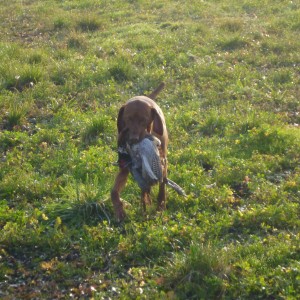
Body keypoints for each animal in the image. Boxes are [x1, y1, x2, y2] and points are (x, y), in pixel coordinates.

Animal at [111, 82, 168, 220]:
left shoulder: (163, 163)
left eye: (143, 119)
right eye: (128, 119)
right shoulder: (125, 168)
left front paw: (160, 207)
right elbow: (113, 192)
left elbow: (162, 186)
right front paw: (119, 210)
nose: (133, 139)